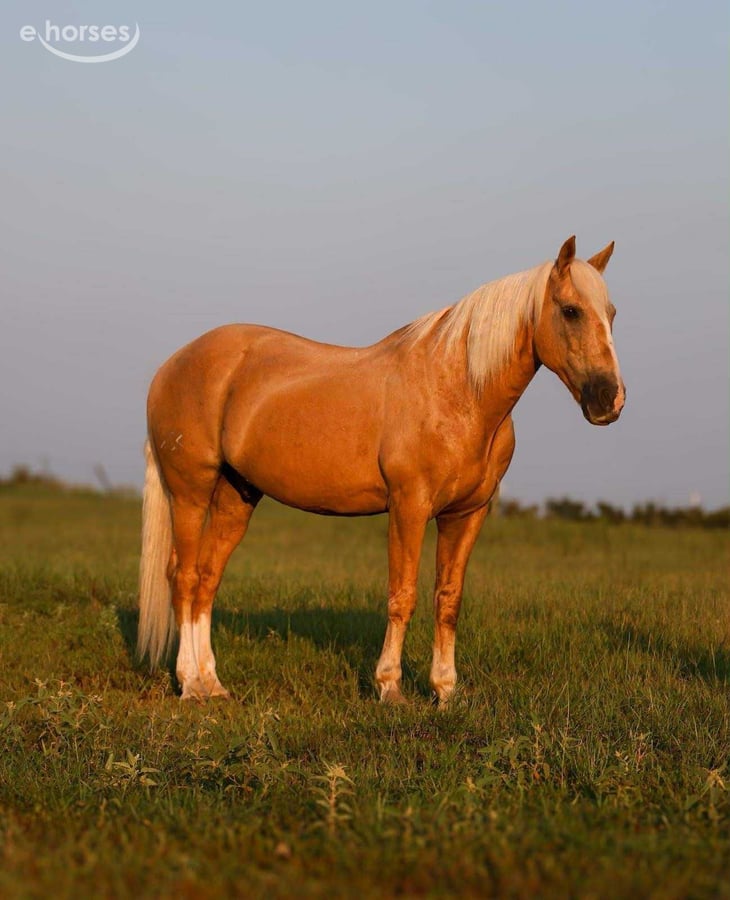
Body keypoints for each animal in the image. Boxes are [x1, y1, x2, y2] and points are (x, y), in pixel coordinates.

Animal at [138, 236, 625, 703]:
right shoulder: (409, 507)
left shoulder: (466, 515)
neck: (459, 390)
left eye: (612, 314)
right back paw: (190, 686)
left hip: (235, 496)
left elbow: (448, 599)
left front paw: (445, 692)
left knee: (206, 579)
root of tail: (171, 365)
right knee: (183, 577)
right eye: (571, 311)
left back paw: (213, 684)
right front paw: (390, 687)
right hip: (190, 491)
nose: (610, 400)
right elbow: (402, 595)